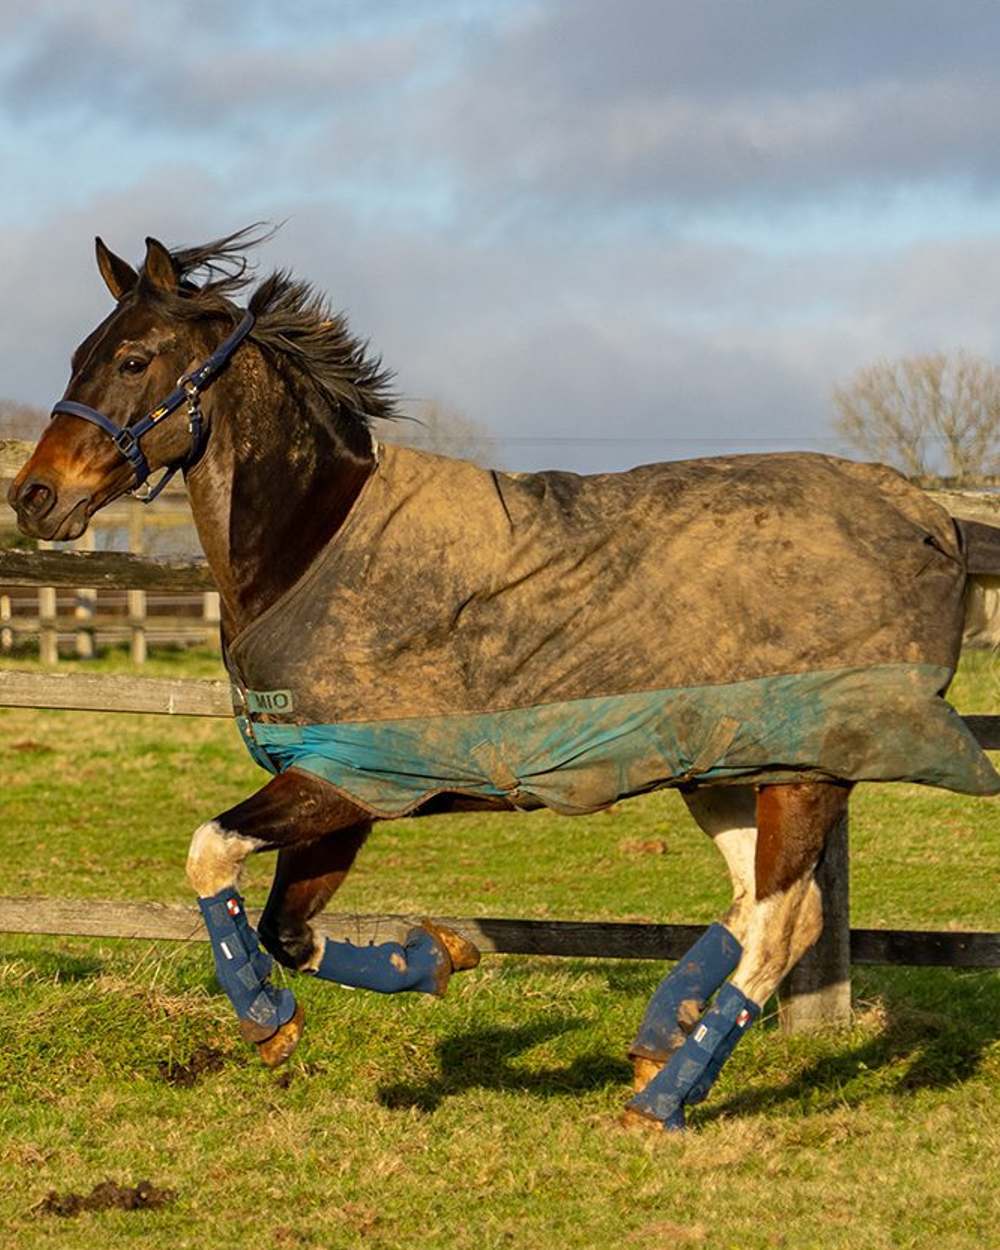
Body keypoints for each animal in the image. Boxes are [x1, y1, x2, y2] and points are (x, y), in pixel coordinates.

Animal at [7, 227, 1000, 1135]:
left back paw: (666, 1100)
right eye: (79, 354)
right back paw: (656, 1042)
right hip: (723, 764)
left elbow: (212, 855)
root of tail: (934, 519)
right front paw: (435, 958)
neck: (314, 545)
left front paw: (267, 1021)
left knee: (785, 925)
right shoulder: (348, 787)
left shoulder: (348, 777)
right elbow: (289, 930)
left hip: (806, 770)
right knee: (760, 904)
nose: (35, 498)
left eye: (134, 359)